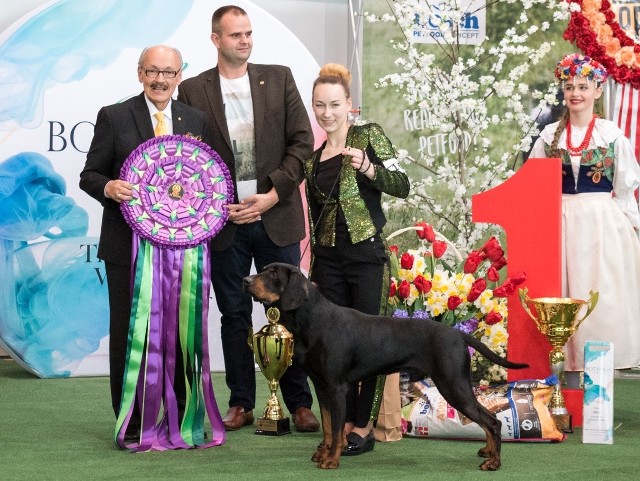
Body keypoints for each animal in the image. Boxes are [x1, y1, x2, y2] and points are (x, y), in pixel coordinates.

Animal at [242, 262, 528, 468]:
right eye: (264, 269)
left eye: (273, 273)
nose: (245, 281)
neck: (313, 320)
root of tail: (458, 335)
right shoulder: (321, 387)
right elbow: (328, 427)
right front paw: (324, 453)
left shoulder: (336, 388)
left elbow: (337, 427)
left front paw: (331, 460)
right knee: (488, 420)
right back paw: (487, 451)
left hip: (453, 385)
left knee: (492, 421)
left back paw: (494, 462)